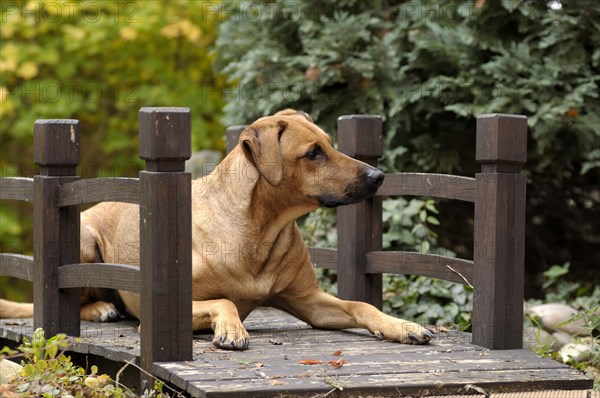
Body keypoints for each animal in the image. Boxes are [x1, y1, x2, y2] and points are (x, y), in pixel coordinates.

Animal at [0, 110, 432, 350]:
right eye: (313, 153)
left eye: (330, 143)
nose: (378, 176)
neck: (260, 228)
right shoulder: (169, 306)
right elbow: (223, 300)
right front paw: (231, 328)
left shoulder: (308, 301)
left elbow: (360, 305)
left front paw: (402, 326)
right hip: (85, 241)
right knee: (75, 295)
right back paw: (102, 308)